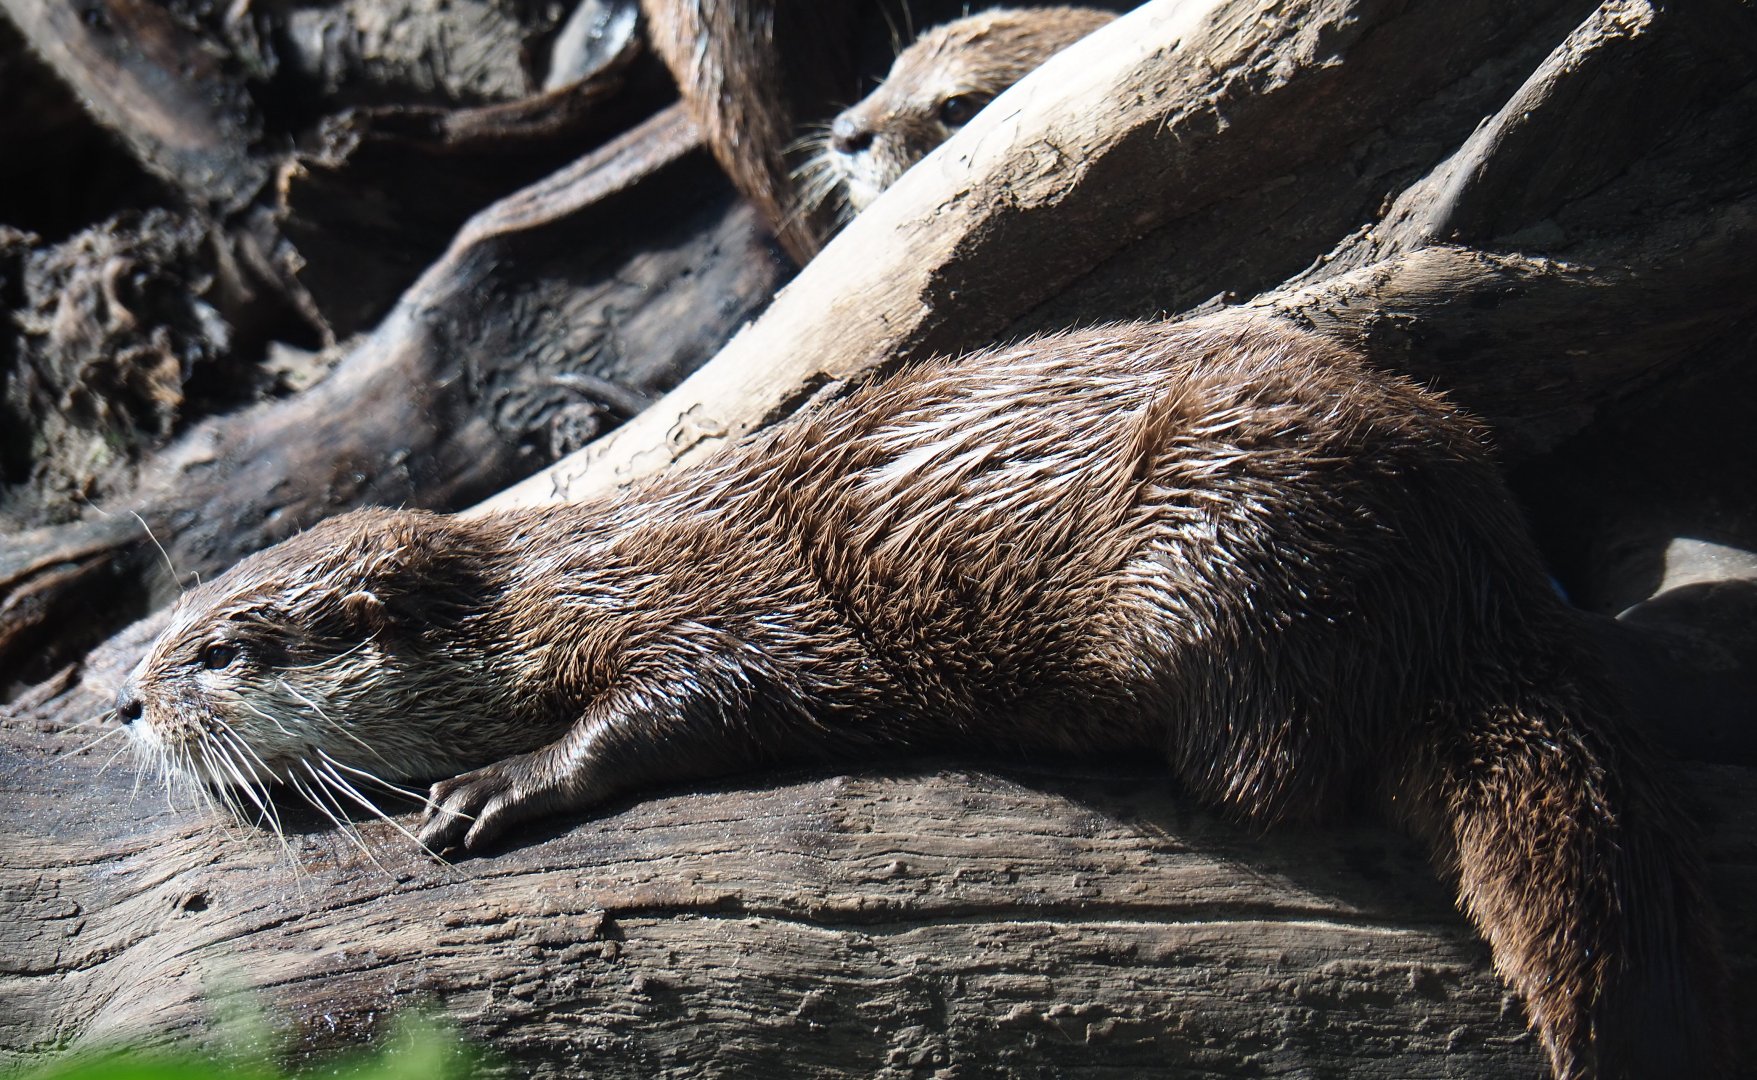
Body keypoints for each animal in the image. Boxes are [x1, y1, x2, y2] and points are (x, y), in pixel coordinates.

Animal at [116, 317, 1724, 1078]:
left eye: (224, 652)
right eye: (172, 616)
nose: (126, 702)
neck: (554, 588)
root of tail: (1480, 579)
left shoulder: (704, 604)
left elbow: (682, 705)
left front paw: (495, 785)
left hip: (1218, 553)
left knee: (1276, 766)